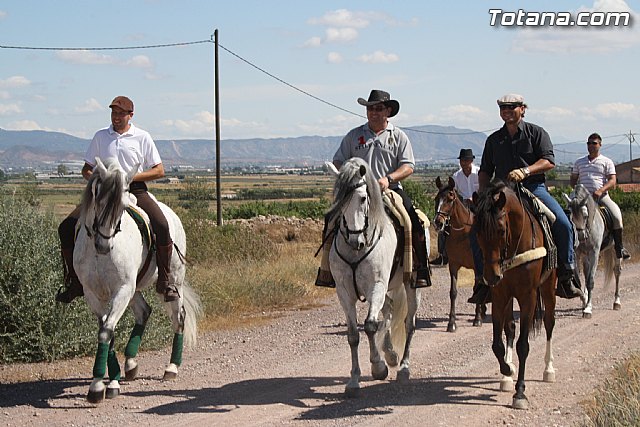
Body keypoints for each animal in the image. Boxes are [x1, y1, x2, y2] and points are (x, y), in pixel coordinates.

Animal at [74, 157, 201, 404]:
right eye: (98, 200)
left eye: (123, 207)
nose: (104, 245)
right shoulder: (92, 293)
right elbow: (106, 330)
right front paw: (104, 381)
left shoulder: (122, 288)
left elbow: (106, 331)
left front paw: (102, 386)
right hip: (134, 290)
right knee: (144, 311)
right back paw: (131, 364)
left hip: (173, 281)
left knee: (178, 317)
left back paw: (172, 367)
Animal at [326, 157, 422, 397]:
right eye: (339, 199)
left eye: (362, 198)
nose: (355, 241)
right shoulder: (344, 292)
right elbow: (353, 334)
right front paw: (353, 381)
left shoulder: (376, 286)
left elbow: (370, 326)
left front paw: (378, 367)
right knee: (388, 310)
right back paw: (390, 353)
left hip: (411, 286)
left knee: (409, 324)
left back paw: (404, 367)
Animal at [433, 176, 487, 332]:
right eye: (436, 199)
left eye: (450, 198)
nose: (438, 222)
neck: (463, 233)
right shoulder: (453, 265)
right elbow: (453, 292)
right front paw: (451, 323)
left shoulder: (477, 266)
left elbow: (476, 288)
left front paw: (477, 319)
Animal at [472, 180, 556, 410]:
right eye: (476, 232)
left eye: (501, 230)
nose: (491, 276)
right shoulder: (500, 295)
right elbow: (497, 343)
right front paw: (507, 369)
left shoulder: (529, 296)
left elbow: (523, 345)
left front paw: (520, 393)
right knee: (509, 328)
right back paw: (507, 376)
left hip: (548, 288)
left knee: (549, 323)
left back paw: (548, 370)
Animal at [564, 184, 621, 318]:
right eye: (570, 216)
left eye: (585, 216)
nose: (580, 236)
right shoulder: (577, 254)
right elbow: (579, 280)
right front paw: (584, 303)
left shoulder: (594, 253)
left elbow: (590, 280)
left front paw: (588, 309)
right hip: (585, 256)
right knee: (586, 272)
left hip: (615, 250)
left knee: (617, 272)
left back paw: (616, 302)